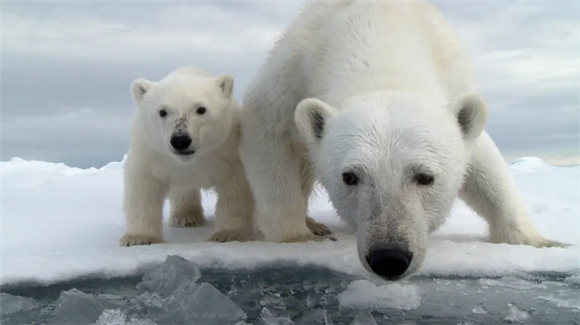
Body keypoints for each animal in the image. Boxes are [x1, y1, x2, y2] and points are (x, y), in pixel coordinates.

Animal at [238, 0, 564, 278]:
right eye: (350, 176)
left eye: (426, 176)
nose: (389, 257)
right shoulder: (293, 73)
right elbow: (267, 134)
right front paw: (297, 237)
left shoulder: (453, 79)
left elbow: (485, 164)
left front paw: (540, 242)